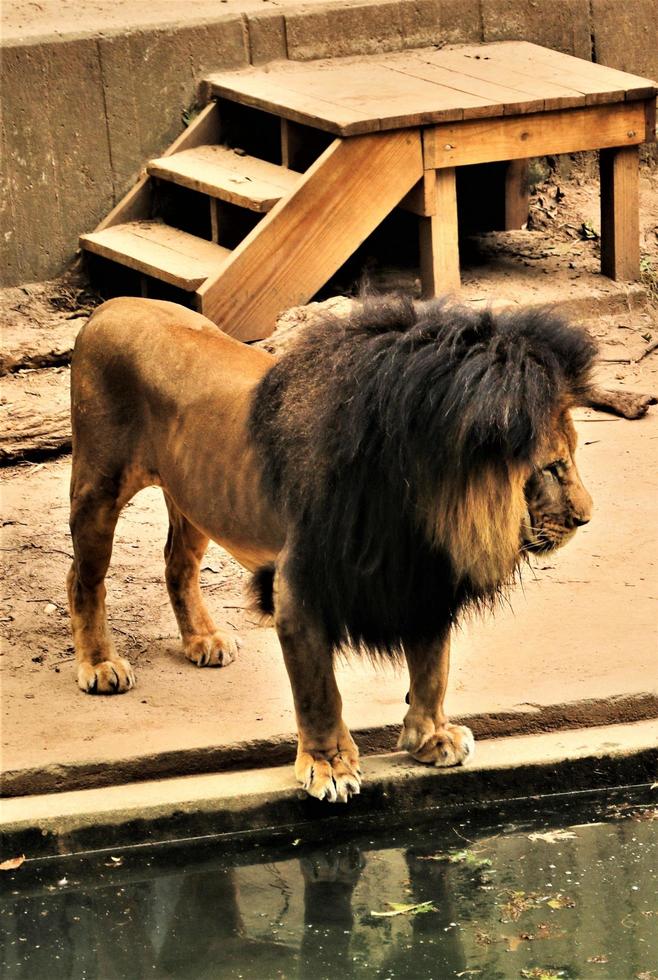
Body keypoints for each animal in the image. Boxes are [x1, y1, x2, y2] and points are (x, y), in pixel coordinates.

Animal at [68, 294, 596, 800]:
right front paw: (330, 765)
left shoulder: (421, 579)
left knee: (177, 566)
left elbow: (433, 666)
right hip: (99, 486)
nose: (585, 518)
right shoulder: (300, 588)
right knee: (84, 579)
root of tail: (112, 305)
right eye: (551, 467)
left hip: (197, 496)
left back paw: (204, 639)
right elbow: (319, 693)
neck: (421, 504)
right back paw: (100, 663)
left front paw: (432, 737)